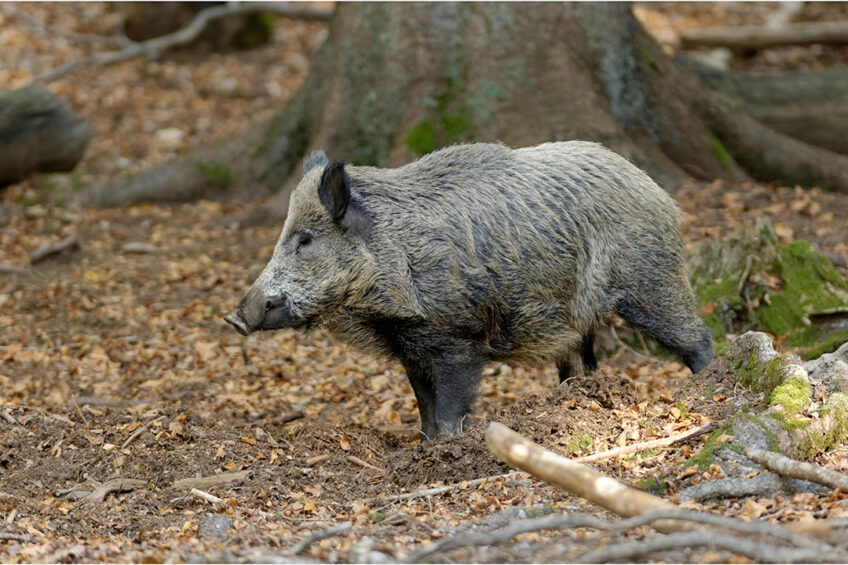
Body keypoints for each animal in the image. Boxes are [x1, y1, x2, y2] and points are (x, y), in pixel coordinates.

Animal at [225, 142, 713, 439]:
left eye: (305, 239)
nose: (236, 316)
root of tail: (660, 194)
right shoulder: (412, 350)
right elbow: (423, 406)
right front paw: (425, 446)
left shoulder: (457, 341)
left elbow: (449, 408)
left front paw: (448, 450)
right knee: (580, 363)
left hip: (651, 280)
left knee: (696, 336)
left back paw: (709, 383)